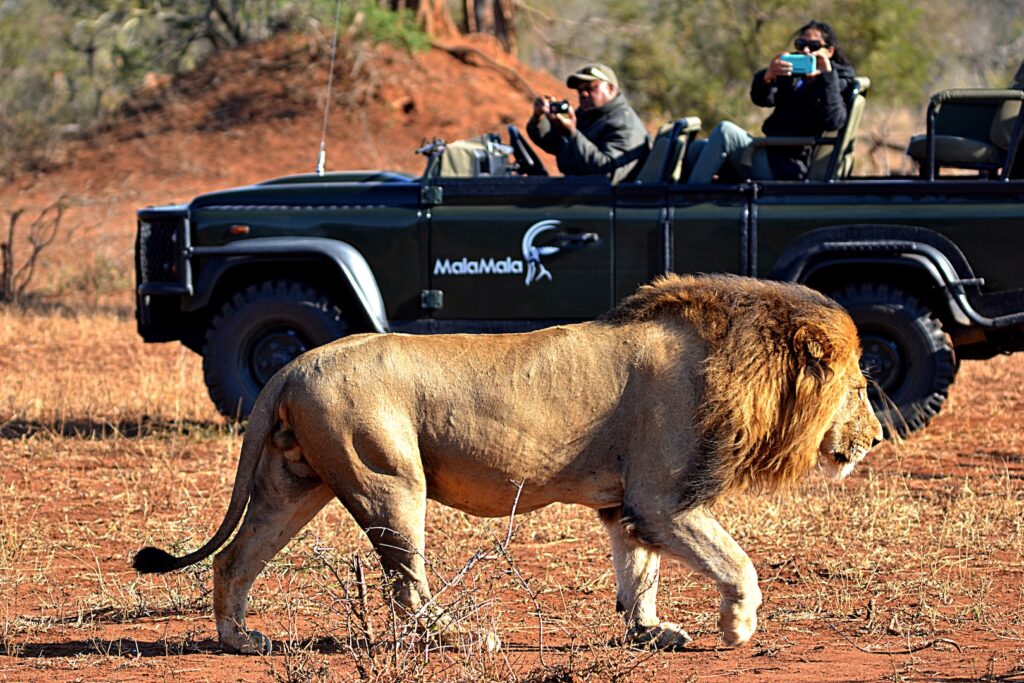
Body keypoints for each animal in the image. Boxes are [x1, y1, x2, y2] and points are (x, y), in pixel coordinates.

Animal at [132, 274, 884, 655]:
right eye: (859, 386)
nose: (877, 440)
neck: (739, 358)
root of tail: (291, 366)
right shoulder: (664, 499)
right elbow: (738, 562)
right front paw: (738, 626)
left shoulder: (627, 506)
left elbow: (638, 574)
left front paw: (649, 633)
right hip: (390, 482)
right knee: (406, 588)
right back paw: (462, 635)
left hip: (293, 483)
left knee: (236, 559)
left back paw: (240, 639)